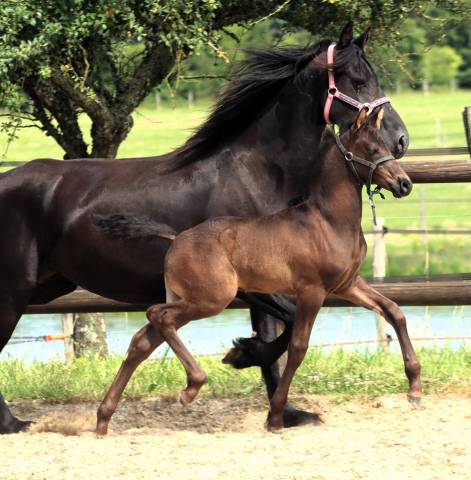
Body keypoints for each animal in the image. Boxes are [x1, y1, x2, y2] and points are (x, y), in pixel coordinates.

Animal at [96, 109, 420, 436]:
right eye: (372, 150)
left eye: (387, 147)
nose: (405, 184)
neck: (328, 221)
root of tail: (176, 238)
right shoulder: (312, 291)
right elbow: (298, 347)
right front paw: (276, 416)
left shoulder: (348, 284)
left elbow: (394, 311)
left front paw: (414, 387)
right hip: (211, 300)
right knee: (157, 316)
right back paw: (190, 388)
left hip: (187, 298)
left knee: (144, 338)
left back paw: (103, 419)